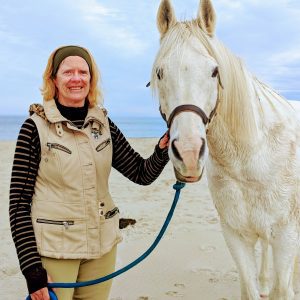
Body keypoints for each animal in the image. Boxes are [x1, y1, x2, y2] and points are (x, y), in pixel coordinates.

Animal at [151, 0, 300, 300]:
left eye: (214, 71)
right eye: (160, 72)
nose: (188, 154)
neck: (250, 161)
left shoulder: (287, 237)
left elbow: (283, 288)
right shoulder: (235, 236)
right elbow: (250, 289)